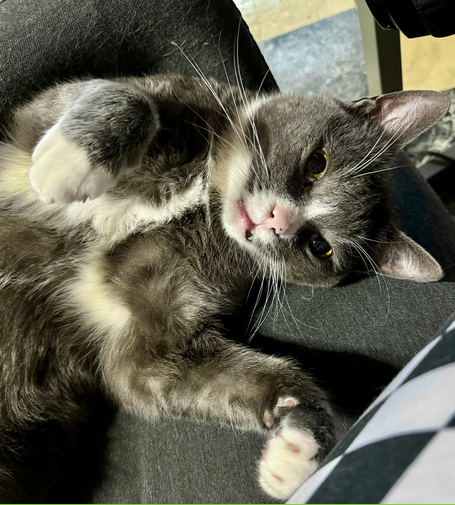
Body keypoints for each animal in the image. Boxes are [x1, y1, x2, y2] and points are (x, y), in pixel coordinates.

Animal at [0, 73, 450, 502]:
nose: (276, 220)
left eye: (320, 247)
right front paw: (63, 166)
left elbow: (195, 375)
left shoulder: (156, 346)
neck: (207, 195)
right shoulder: (43, 116)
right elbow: (128, 98)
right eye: (317, 164)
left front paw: (301, 442)